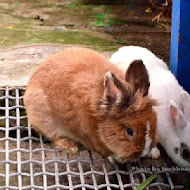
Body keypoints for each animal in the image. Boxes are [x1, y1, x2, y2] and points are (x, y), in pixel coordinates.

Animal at [23, 47, 157, 163]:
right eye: (129, 131)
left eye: (154, 121)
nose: (143, 153)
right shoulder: (90, 136)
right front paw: (114, 158)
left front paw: (154, 153)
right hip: (44, 120)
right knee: (53, 136)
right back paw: (70, 147)